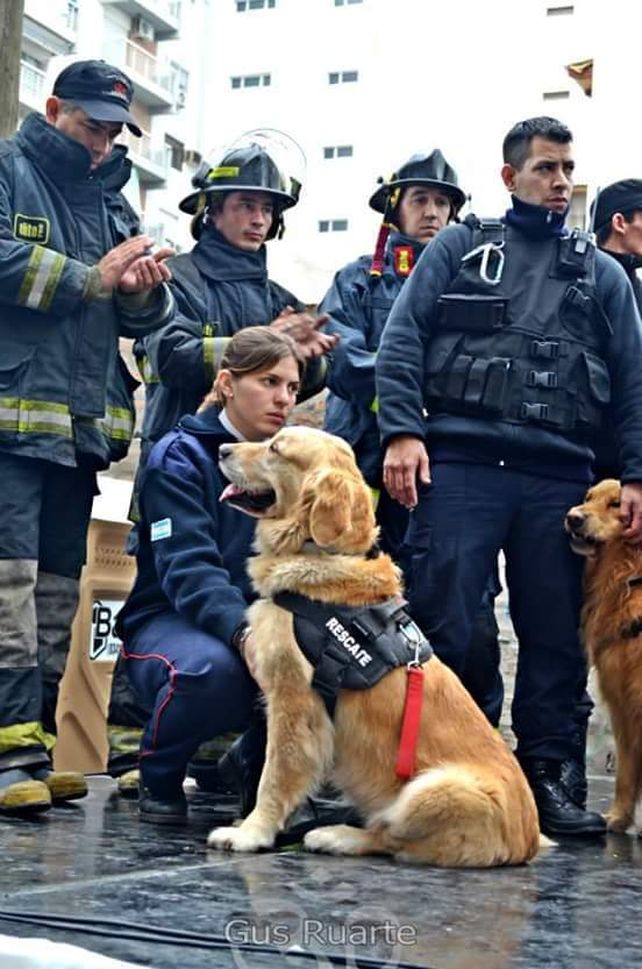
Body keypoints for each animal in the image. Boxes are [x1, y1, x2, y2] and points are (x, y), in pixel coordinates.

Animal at [206, 428, 540, 864]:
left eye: (275, 448)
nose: (222, 449)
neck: (319, 551)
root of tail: (529, 840)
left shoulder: (295, 703)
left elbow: (274, 775)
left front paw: (251, 833)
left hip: (431, 788)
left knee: (392, 839)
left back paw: (337, 836)